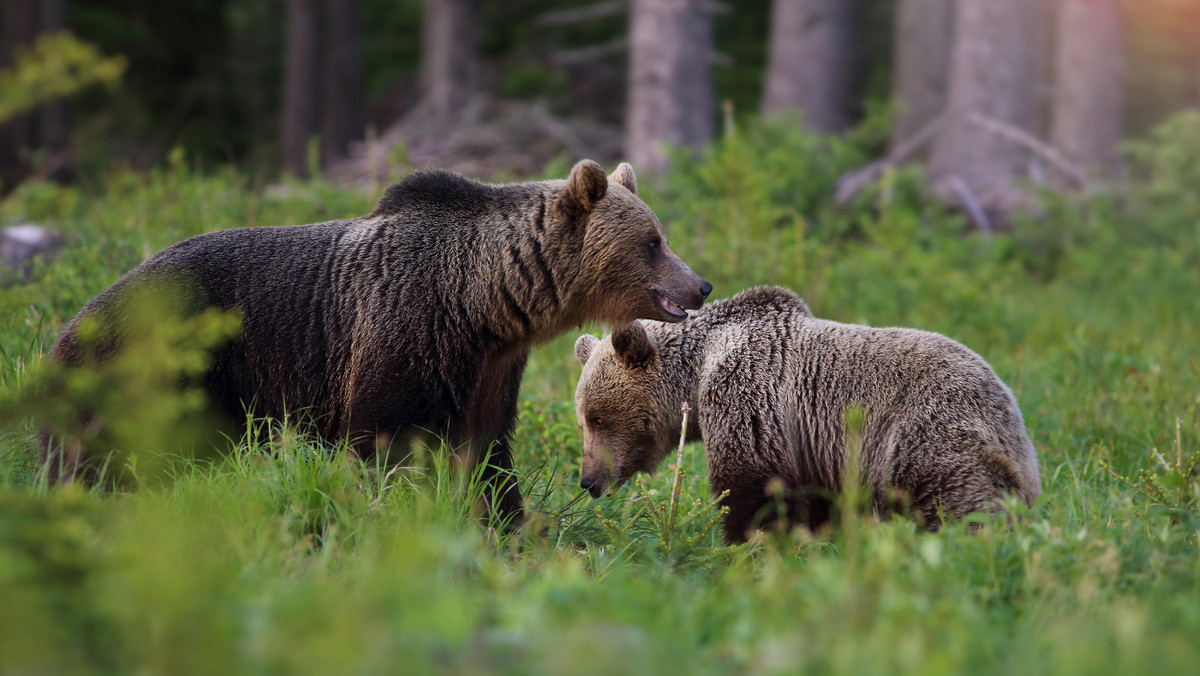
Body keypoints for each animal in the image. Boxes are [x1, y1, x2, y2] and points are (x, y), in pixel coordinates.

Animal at [571, 286, 1041, 545]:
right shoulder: (814, 450)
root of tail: (1010, 416)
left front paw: (746, 545)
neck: (699, 370)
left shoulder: (749, 394)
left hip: (927, 434)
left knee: (959, 504)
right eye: (585, 419)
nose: (589, 480)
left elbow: (752, 487)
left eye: (597, 418)